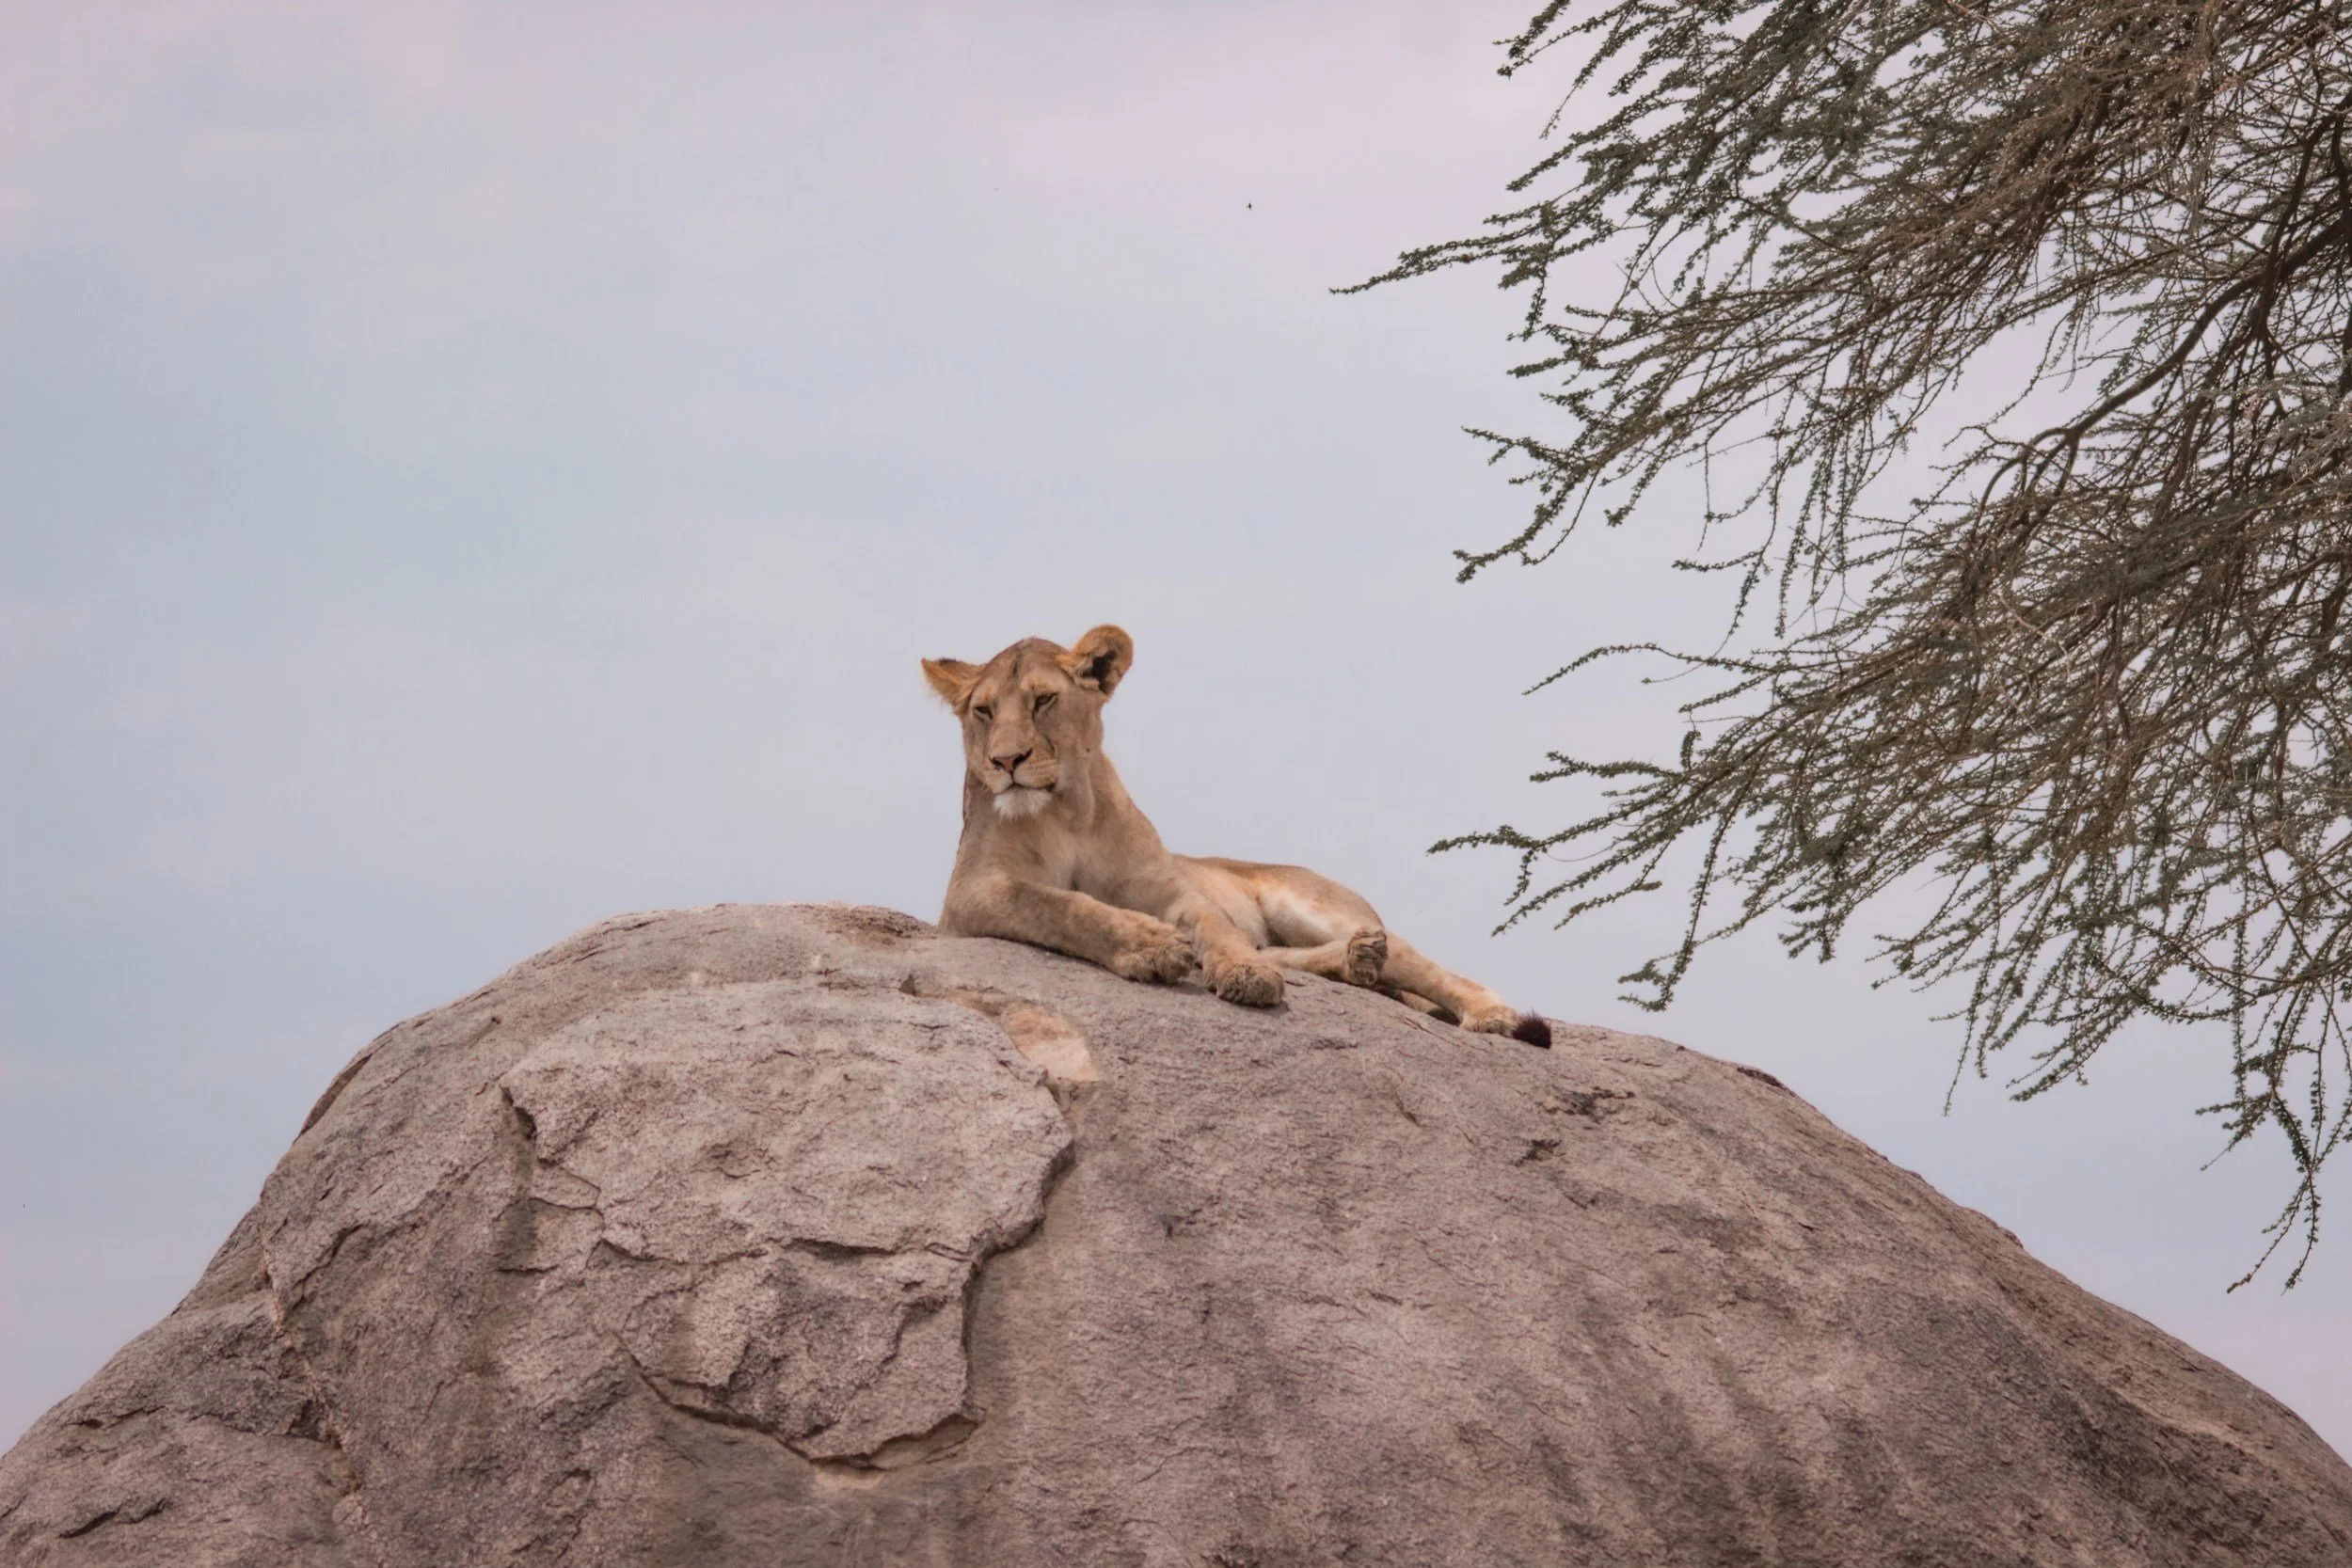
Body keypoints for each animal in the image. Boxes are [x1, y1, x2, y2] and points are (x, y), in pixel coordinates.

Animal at [922, 625, 1552, 1047]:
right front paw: (1152, 946)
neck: (1067, 812)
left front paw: (1240, 973)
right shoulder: (971, 894)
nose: (1006, 761)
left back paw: (1487, 1012)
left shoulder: (1166, 887)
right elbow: (1058, 904)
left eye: (1044, 699)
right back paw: (1358, 961)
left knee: (1424, 964)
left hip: (1312, 904)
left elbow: (1212, 923)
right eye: (983, 712)